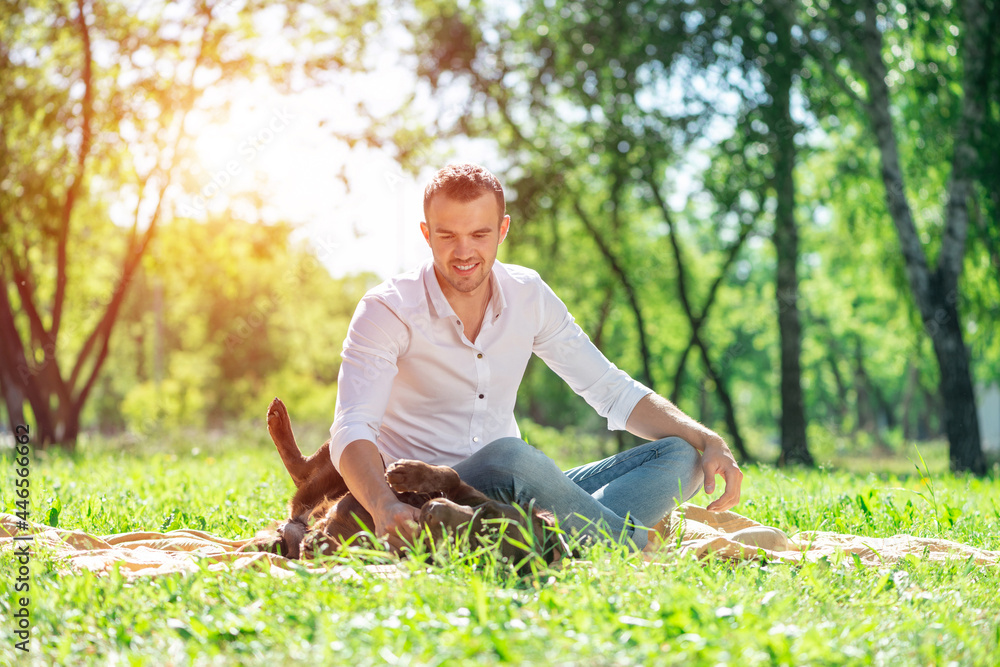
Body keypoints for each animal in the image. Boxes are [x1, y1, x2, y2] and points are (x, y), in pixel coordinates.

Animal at [247, 400, 568, 572]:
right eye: (487, 513)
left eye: (472, 547)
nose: (432, 508)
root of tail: (289, 527)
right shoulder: (468, 494)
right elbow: (450, 474)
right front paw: (409, 474)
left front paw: (321, 544)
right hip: (357, 455)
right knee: (308, 470)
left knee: (301, 487)